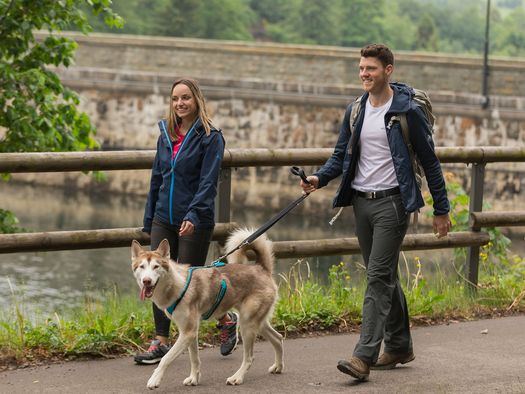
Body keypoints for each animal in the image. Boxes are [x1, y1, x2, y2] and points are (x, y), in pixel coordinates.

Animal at [133, 229, 284, 390]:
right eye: (142, 267)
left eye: (156, 266)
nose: (146, 281)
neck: (177, 284)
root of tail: (261, 268)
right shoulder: (190, 333)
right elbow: (194, 359)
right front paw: (194, 378)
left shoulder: (188, 332)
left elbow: (166, 358)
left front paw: (154, 380)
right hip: (256, 323)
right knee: (278, 338)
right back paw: (278, 367)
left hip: (247, 326)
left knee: (249, 357)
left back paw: (237, 377)